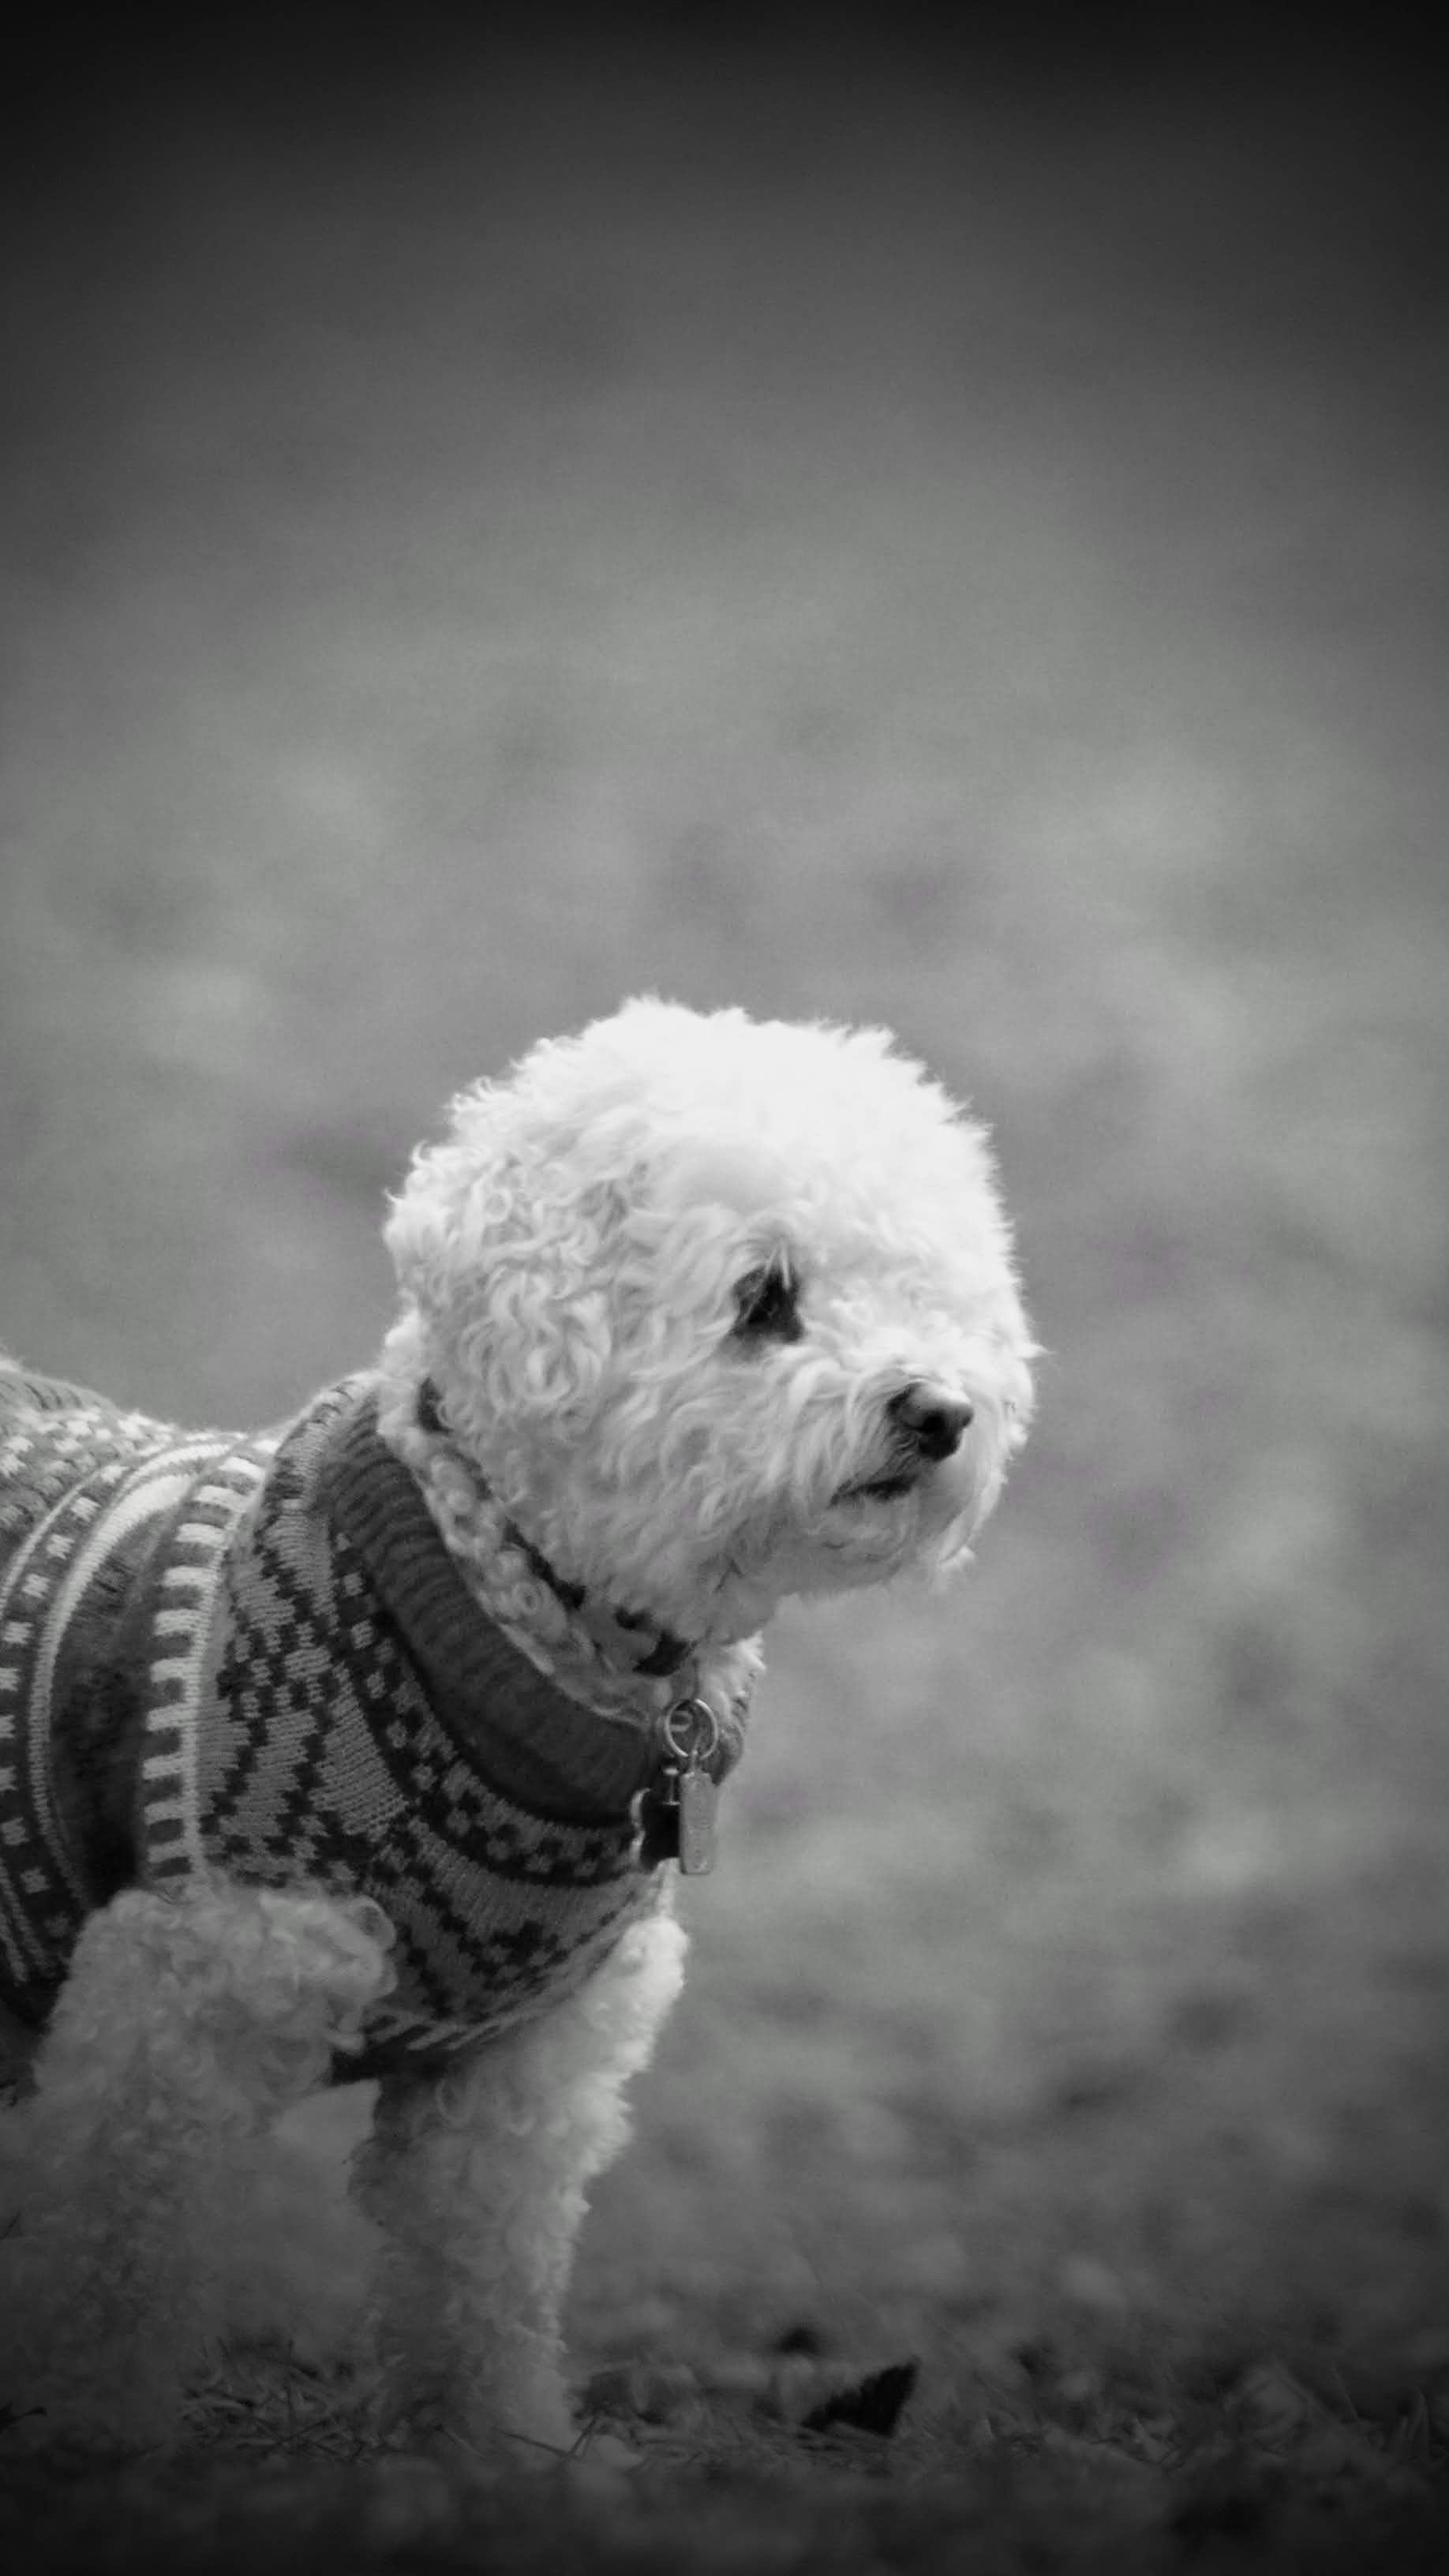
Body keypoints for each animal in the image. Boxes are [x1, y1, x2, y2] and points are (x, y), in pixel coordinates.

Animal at [2, 989, 1036, 2452]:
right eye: (765, 1298)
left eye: (924, 1284)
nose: (942, 1409)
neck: (514, 1595)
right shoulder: (184, 1996)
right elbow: (116, 2250)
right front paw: (96, 2440)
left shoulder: (520, 2062)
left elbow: (480, 2261)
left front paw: (501, 2445)